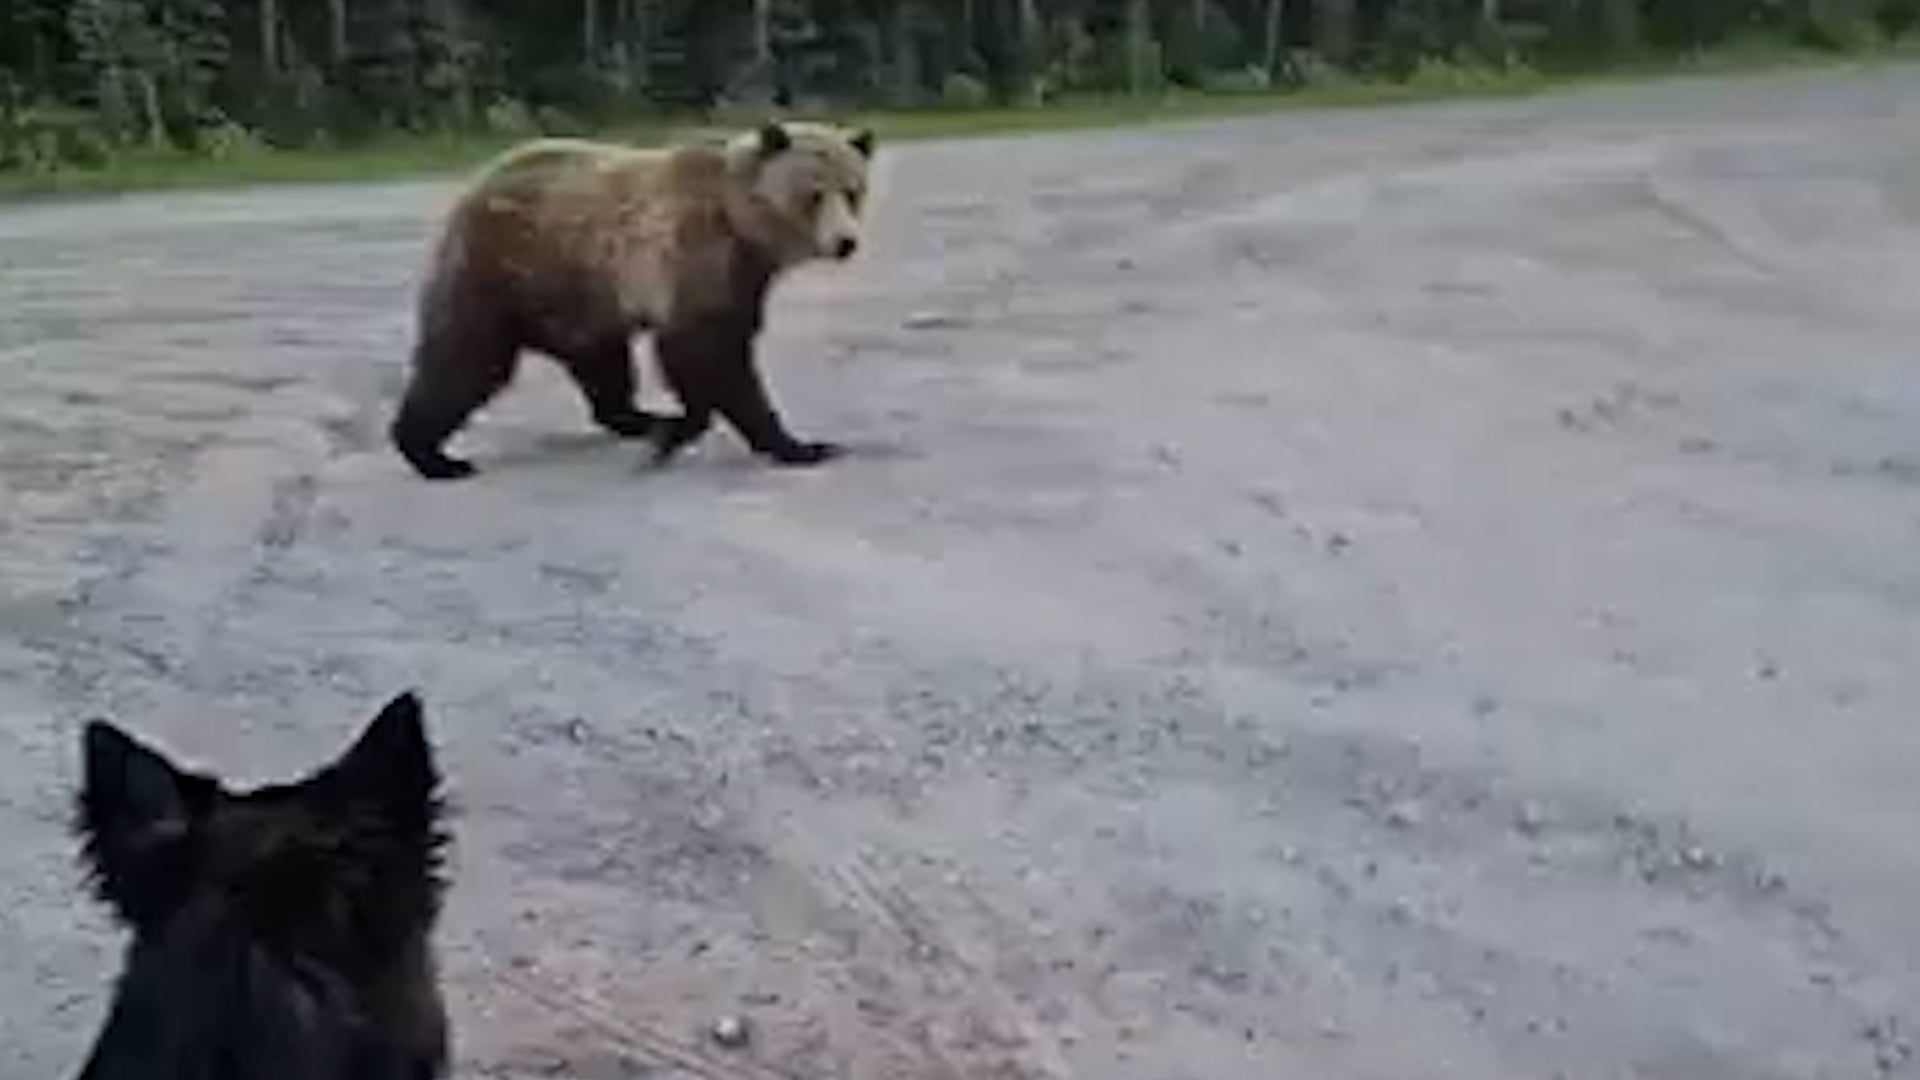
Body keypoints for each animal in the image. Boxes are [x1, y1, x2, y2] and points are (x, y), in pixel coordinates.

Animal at [387, 120, 877, 481]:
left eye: (853, 191)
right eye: (813, 194)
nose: (845, 242)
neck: (742, 224)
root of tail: (478, 182)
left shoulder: (740, 277)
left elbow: (715, 348)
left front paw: (677, 428)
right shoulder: (693, 255)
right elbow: (709, 355)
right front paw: (796, 444)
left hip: (581, 296)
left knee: (602, 364)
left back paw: (639, 416)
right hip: (509, 268)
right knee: (464, 358)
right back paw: (432, 455)